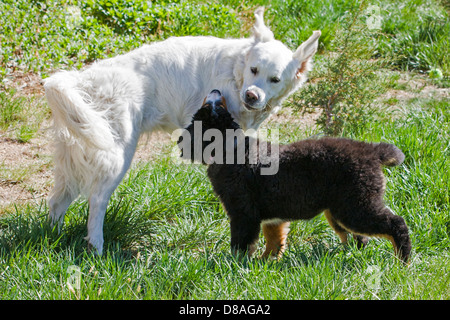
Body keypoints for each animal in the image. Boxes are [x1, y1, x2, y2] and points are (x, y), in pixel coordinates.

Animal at [44, 6, 322, 254]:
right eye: (254, 70)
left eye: (275, 79)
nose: (251, 95)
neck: (235, 73)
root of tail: (81, 80)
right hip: (117, 155)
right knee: (96, 201)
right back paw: (97, 249)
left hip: (75, 157)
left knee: (58, 201)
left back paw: (53, 238)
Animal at [179, 89, 412, 262]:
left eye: (210, 108)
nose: (216, 91)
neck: (230, 148)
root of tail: (372, 151)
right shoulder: (272, 218)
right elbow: (274, 241)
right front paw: (266, 263)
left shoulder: (243, 212)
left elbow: (240, 245)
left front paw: (234, 266)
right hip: (339, 210)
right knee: (359, 238)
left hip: (355, 206)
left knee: (396, 223)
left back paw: (403, 261)